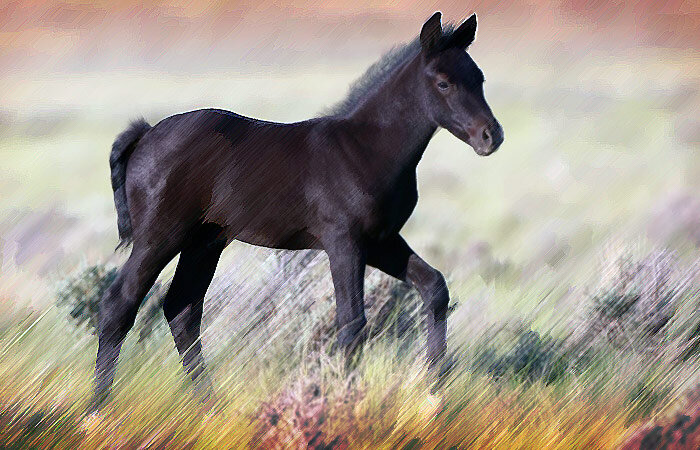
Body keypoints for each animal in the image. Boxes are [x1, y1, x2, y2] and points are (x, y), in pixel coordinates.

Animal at [90, 10, 504, 414]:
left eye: (479, 78)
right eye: (443, 83)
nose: (491, 136)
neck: (364, 148)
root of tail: (146, 133)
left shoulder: (382, 242)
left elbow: (434, 288)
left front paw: (434, 394)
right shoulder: (344, 242)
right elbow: (352, 322)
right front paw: (343, 402)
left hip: (204, 242)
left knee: (182, 310)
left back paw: (209, 406)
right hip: (159, 236)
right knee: (118, 305)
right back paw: (98, 410)